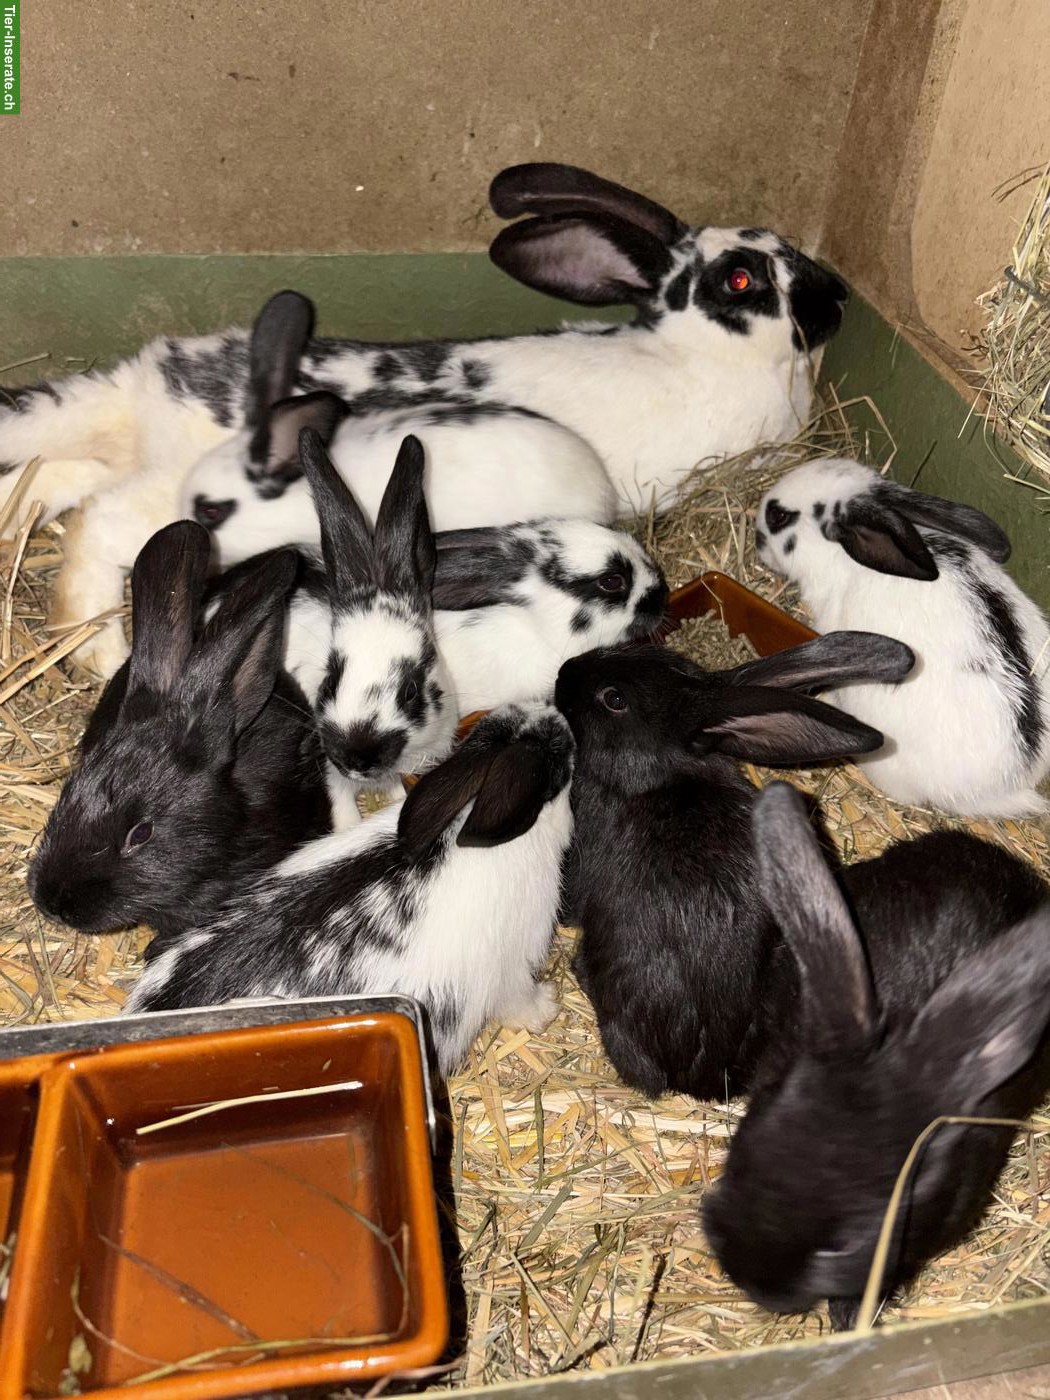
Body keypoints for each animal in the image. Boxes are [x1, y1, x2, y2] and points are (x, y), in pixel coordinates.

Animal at [3, 161, 846, 669]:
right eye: (744, 279)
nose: (835, 299)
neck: (700, 354)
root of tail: (146, 379)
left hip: (97, 458)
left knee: (51, 488)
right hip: (170, 497)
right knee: (99, 525)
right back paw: (98, 654)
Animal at [123, 702, 576, 1075]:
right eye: (555, 755)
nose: (557, 713)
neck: (465, 822)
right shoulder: (513, 968)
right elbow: (519, 1002)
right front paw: (547, 1007)